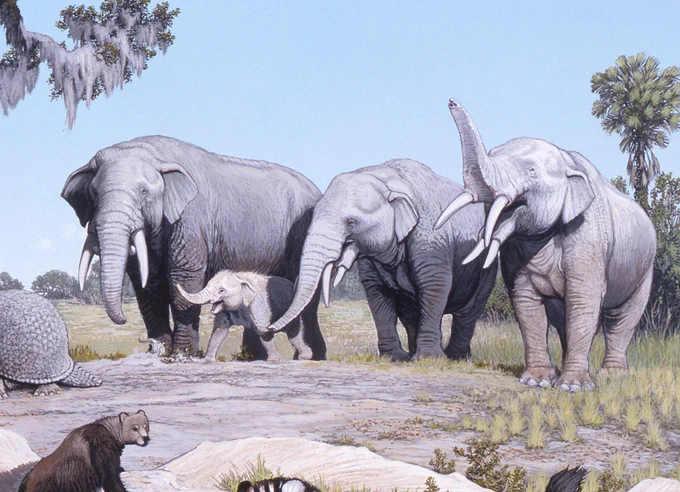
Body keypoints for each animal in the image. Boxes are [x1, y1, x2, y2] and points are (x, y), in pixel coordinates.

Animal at [177, 270, 313, 362]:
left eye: (221, 290)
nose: (178, 284)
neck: (239, 277)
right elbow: (220, 330)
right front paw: (207, 361)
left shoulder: (257, 303)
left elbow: (263, 329)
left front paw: (273, 361)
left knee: (293, 332)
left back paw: (305, 357)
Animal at [268, 159, 498, 361]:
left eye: (351, 222)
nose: (270, 327)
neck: (387, 178)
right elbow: (376, 292)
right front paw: (394, 358)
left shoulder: (432, 235)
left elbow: (434, 284)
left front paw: (428, 359)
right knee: (410, 313)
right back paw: (415, 354)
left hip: (486, 266)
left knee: (469, 311)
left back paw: (456, 358)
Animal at [435, 98, 656, 391]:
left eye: (531, 171)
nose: (451, 101)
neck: (566, 160)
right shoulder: (514, 252)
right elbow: (526, 302)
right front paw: (537, 382)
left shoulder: (589, 236)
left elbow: (583, 299)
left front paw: (573, 388)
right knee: (563, 318)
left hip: (644, 269)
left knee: (622, 318)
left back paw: (613, 375)